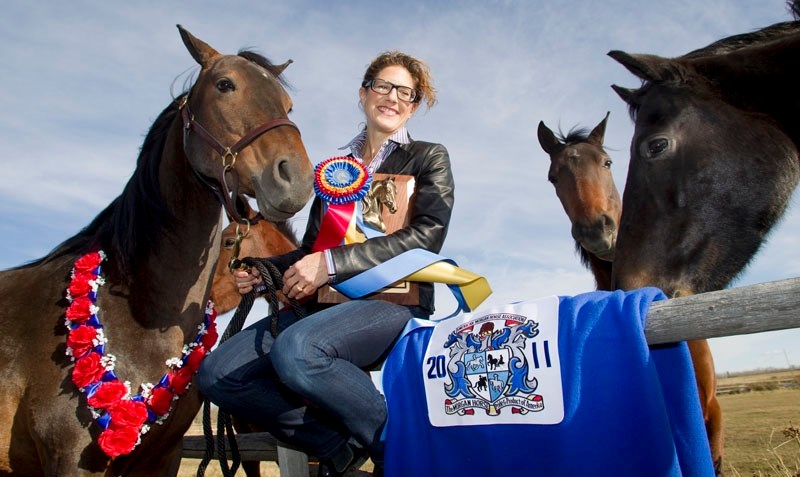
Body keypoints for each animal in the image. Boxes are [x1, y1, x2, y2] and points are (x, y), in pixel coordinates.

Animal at [0, 27, 312, 476]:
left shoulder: (165, 456)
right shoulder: (70, 460)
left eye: (288, 104)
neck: (135, 310)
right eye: (224, 85)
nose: (296, 178)